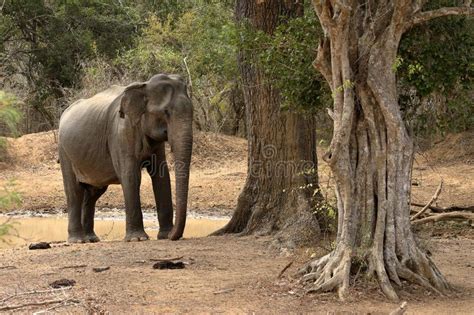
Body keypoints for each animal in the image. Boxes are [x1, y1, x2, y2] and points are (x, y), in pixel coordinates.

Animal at [58, 74, 193, 244]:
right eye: (165, 112)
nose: (172, 236)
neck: (144, 86)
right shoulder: (121, 133)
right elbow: (131, 176)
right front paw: (138, 239)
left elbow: (161, 177)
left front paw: (163, 236)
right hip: (64, 151)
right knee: (74, 190)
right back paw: (78, 240)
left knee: (93, 193)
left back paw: (91, 239)